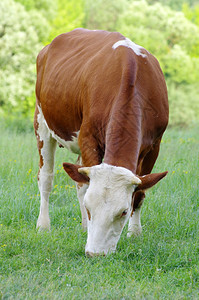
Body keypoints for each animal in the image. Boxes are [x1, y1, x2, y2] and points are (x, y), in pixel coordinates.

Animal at [33, 28, 168, 256]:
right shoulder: (88, 137)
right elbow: (85, 186)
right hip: (41, 121)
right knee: (46, 178)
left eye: (124, 212)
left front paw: (135, 234)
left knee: (79, 181)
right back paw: (43, 226)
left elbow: (140, 192)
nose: (95, 253)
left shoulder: (154, 146)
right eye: (89, 208)